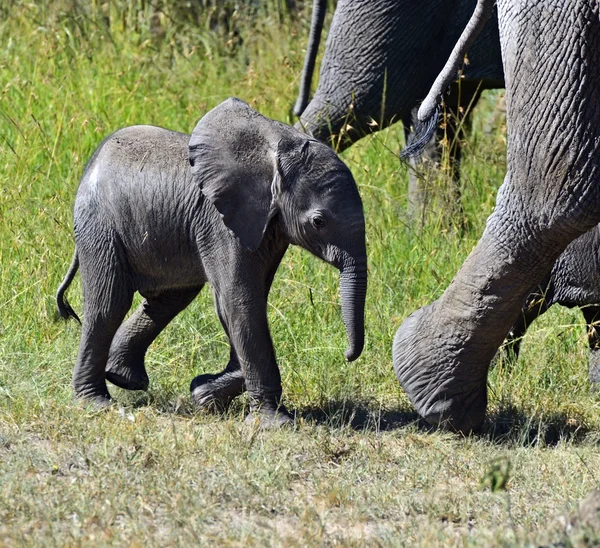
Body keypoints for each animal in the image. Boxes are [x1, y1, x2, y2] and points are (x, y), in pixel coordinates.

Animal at [57, 96, 366, 426]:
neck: (277, 149)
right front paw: (275, 423)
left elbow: (248, 300)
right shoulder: (220, 221)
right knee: (108, 303)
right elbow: (238, 301)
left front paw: (204, 393)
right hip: (100, 224)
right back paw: (95, 402)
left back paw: (125, 379)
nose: (346, 355)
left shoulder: (268, 227)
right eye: (318, 222)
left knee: (168, 299)